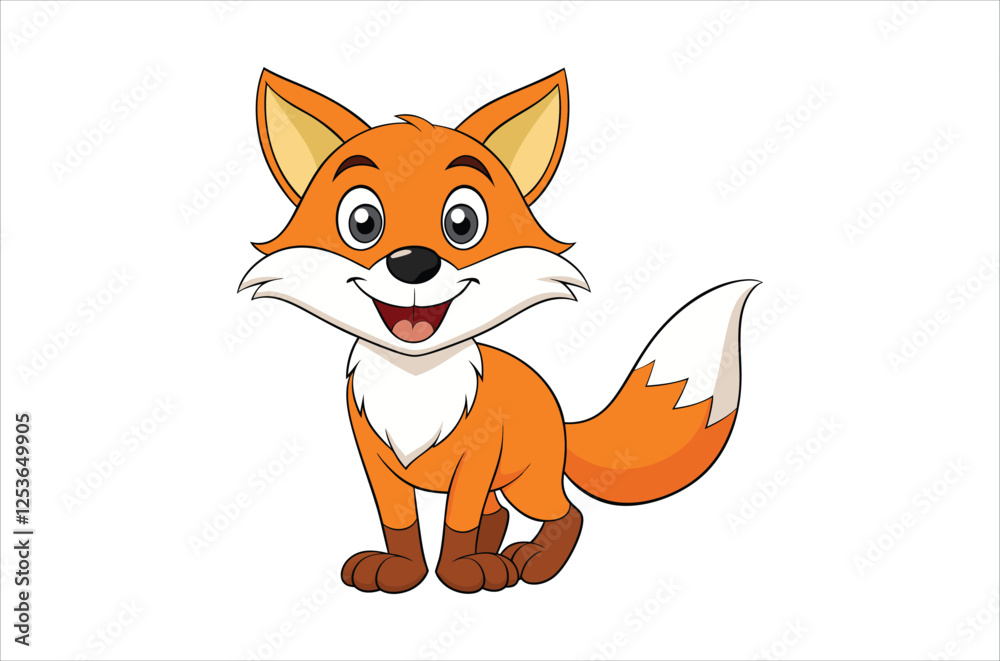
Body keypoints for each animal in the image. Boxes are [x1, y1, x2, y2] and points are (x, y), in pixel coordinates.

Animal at [239, 68, 758, 594]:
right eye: (362, 222)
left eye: (462, 223)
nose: (413, 263)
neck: (416, 382)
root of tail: (559, 412)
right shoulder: (377, 459)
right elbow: (400, 522)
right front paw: (404, 571)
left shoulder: (478, 459)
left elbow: (459, 521)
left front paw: (457, 572)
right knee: (500, 514)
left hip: (530, 479)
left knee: (566, 512)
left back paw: (532, 562)